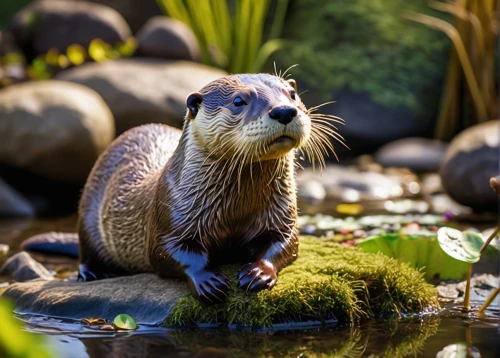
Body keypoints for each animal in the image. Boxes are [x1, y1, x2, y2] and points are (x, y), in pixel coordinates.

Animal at [75, 74, 340, 304]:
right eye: (238, 101)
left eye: (292, 94)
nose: (284, 110)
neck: (236, 209)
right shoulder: (168, 214)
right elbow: (168, 253)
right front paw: (207, 281)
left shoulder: (281, 214)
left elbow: (286, 244)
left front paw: (259, 272)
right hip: (88, 209)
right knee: (86, 247)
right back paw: (91, 273)